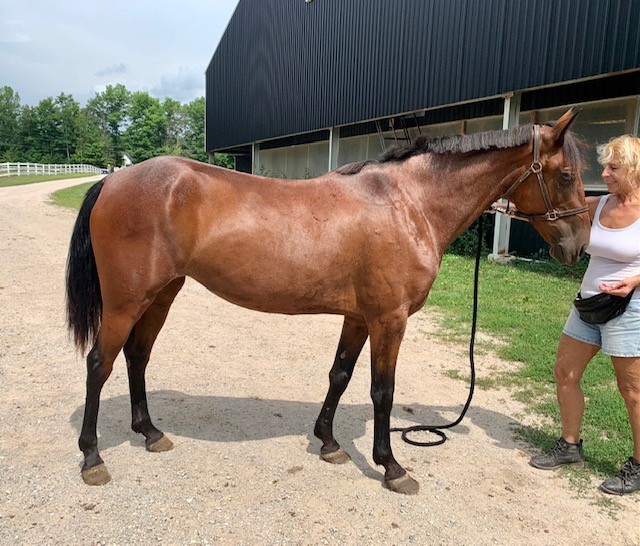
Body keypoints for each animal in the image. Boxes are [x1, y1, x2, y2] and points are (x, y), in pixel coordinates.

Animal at [66, 108, 589, 494]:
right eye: (566, 175)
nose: (578, 248)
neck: (408, 204)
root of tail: (114, 180)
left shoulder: (359, 317)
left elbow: (340, 374)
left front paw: (329, 442)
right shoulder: (389, 320)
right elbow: (382, 391)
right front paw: (391, 467)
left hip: (161, 294)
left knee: (137, 356)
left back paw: (150, 432)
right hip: (125, 302)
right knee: (99, 364)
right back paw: (92, 456)